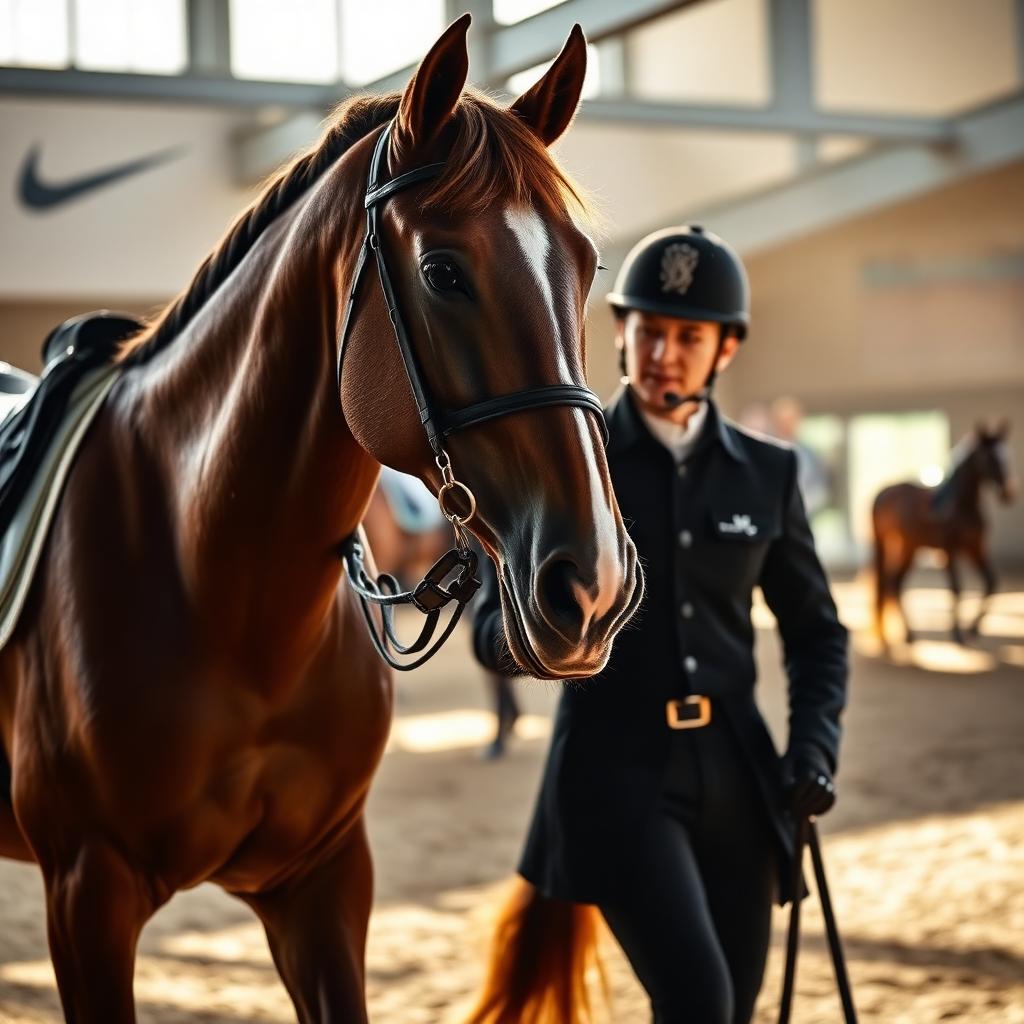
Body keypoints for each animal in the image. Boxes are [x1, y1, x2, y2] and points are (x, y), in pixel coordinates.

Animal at [0, 15, 643, 1022]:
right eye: (443, 272)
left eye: (583, 268)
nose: (597, 585)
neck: (216, 583)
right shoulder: (85, 894)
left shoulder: (323, 883)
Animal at [872, 419, 1015, 650]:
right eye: (988, 457)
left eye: (1007, 454)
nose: (1008, 493)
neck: (962, 505)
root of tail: (884, 491)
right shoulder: (949, 550)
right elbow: (956, 589)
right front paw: (958, 634)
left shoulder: (976, 548)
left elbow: (991, 581)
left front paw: (974, 629)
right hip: (888, 543)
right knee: (890, 582)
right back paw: (897, 635)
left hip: (910, 546)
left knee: (894, 582)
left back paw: (907, 635)